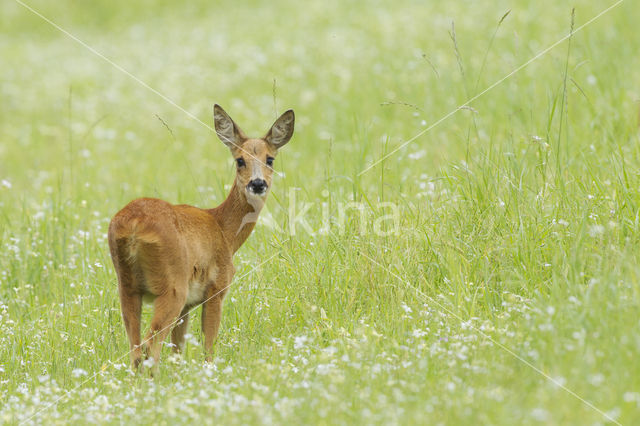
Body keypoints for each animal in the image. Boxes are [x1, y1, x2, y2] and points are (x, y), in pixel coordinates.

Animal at [107, 105, 296, 372]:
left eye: (270, 159)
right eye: (240, 160)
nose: (258, 183)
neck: (224, 230)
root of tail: (134, 226)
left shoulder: (187, 306)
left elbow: (177, 351)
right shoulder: (217, 289)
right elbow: (209, 348)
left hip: (127, 287)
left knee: (136, 350)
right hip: (172, 287)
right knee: (149, 347)